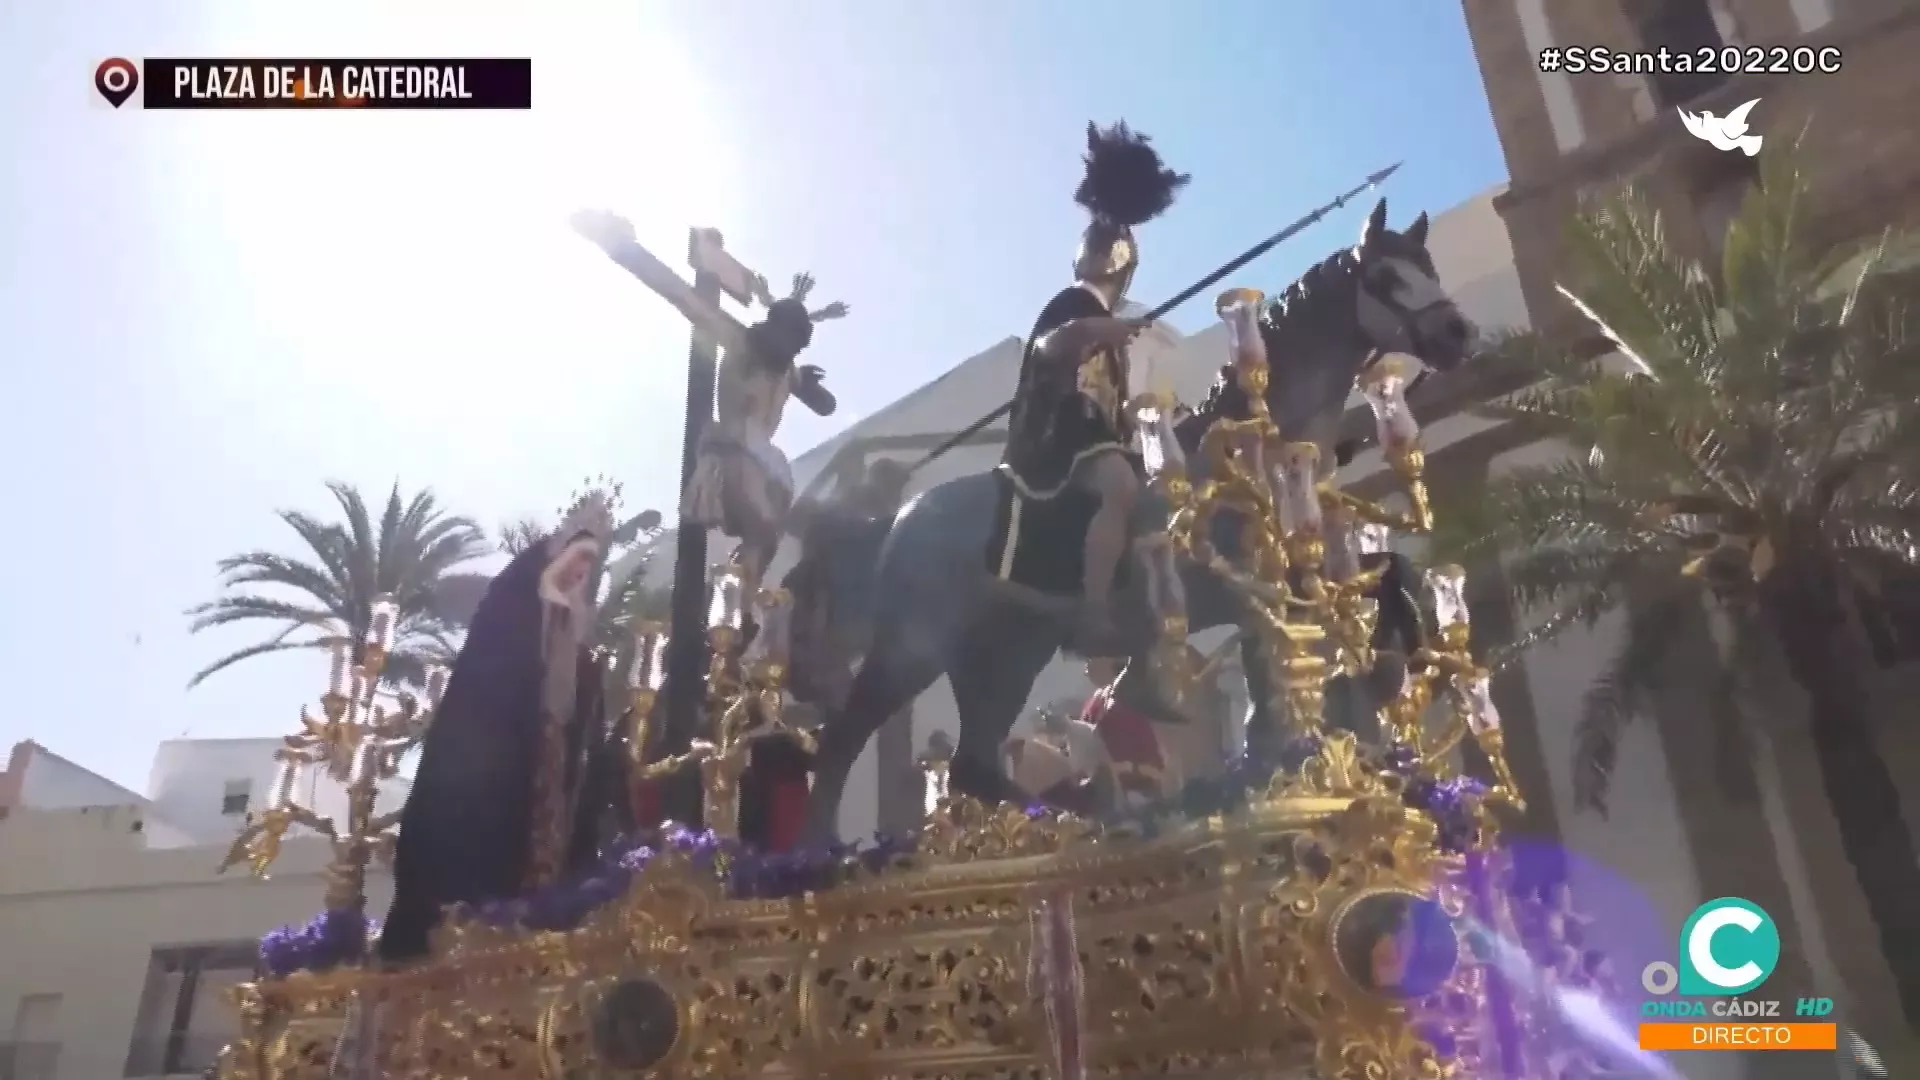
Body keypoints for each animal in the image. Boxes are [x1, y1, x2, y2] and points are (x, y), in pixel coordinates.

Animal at [794, 203, 1466, 841]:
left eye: (1429, 269)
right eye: (1385, 277)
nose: (1457, 334)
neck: (1249, 454)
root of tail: (899, 518)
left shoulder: (1298, 578)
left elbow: (1390, 573)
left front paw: (1385, 675)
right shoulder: (1242, 585)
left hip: (1006, 655)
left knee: (974, 764)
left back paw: (1104, 811)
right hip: (912, 650)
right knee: (843, 743)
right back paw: (822, 853)